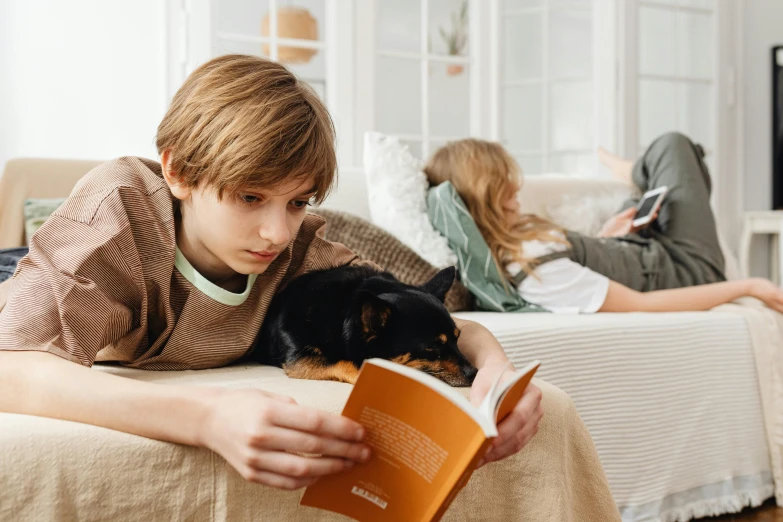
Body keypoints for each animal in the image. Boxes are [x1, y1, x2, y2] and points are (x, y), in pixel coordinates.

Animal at [258, 266, 478, 384]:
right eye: (432, 348)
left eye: (457, 339)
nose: (474, 373)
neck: (343, 310)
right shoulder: (300, 358)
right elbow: (345, 362)